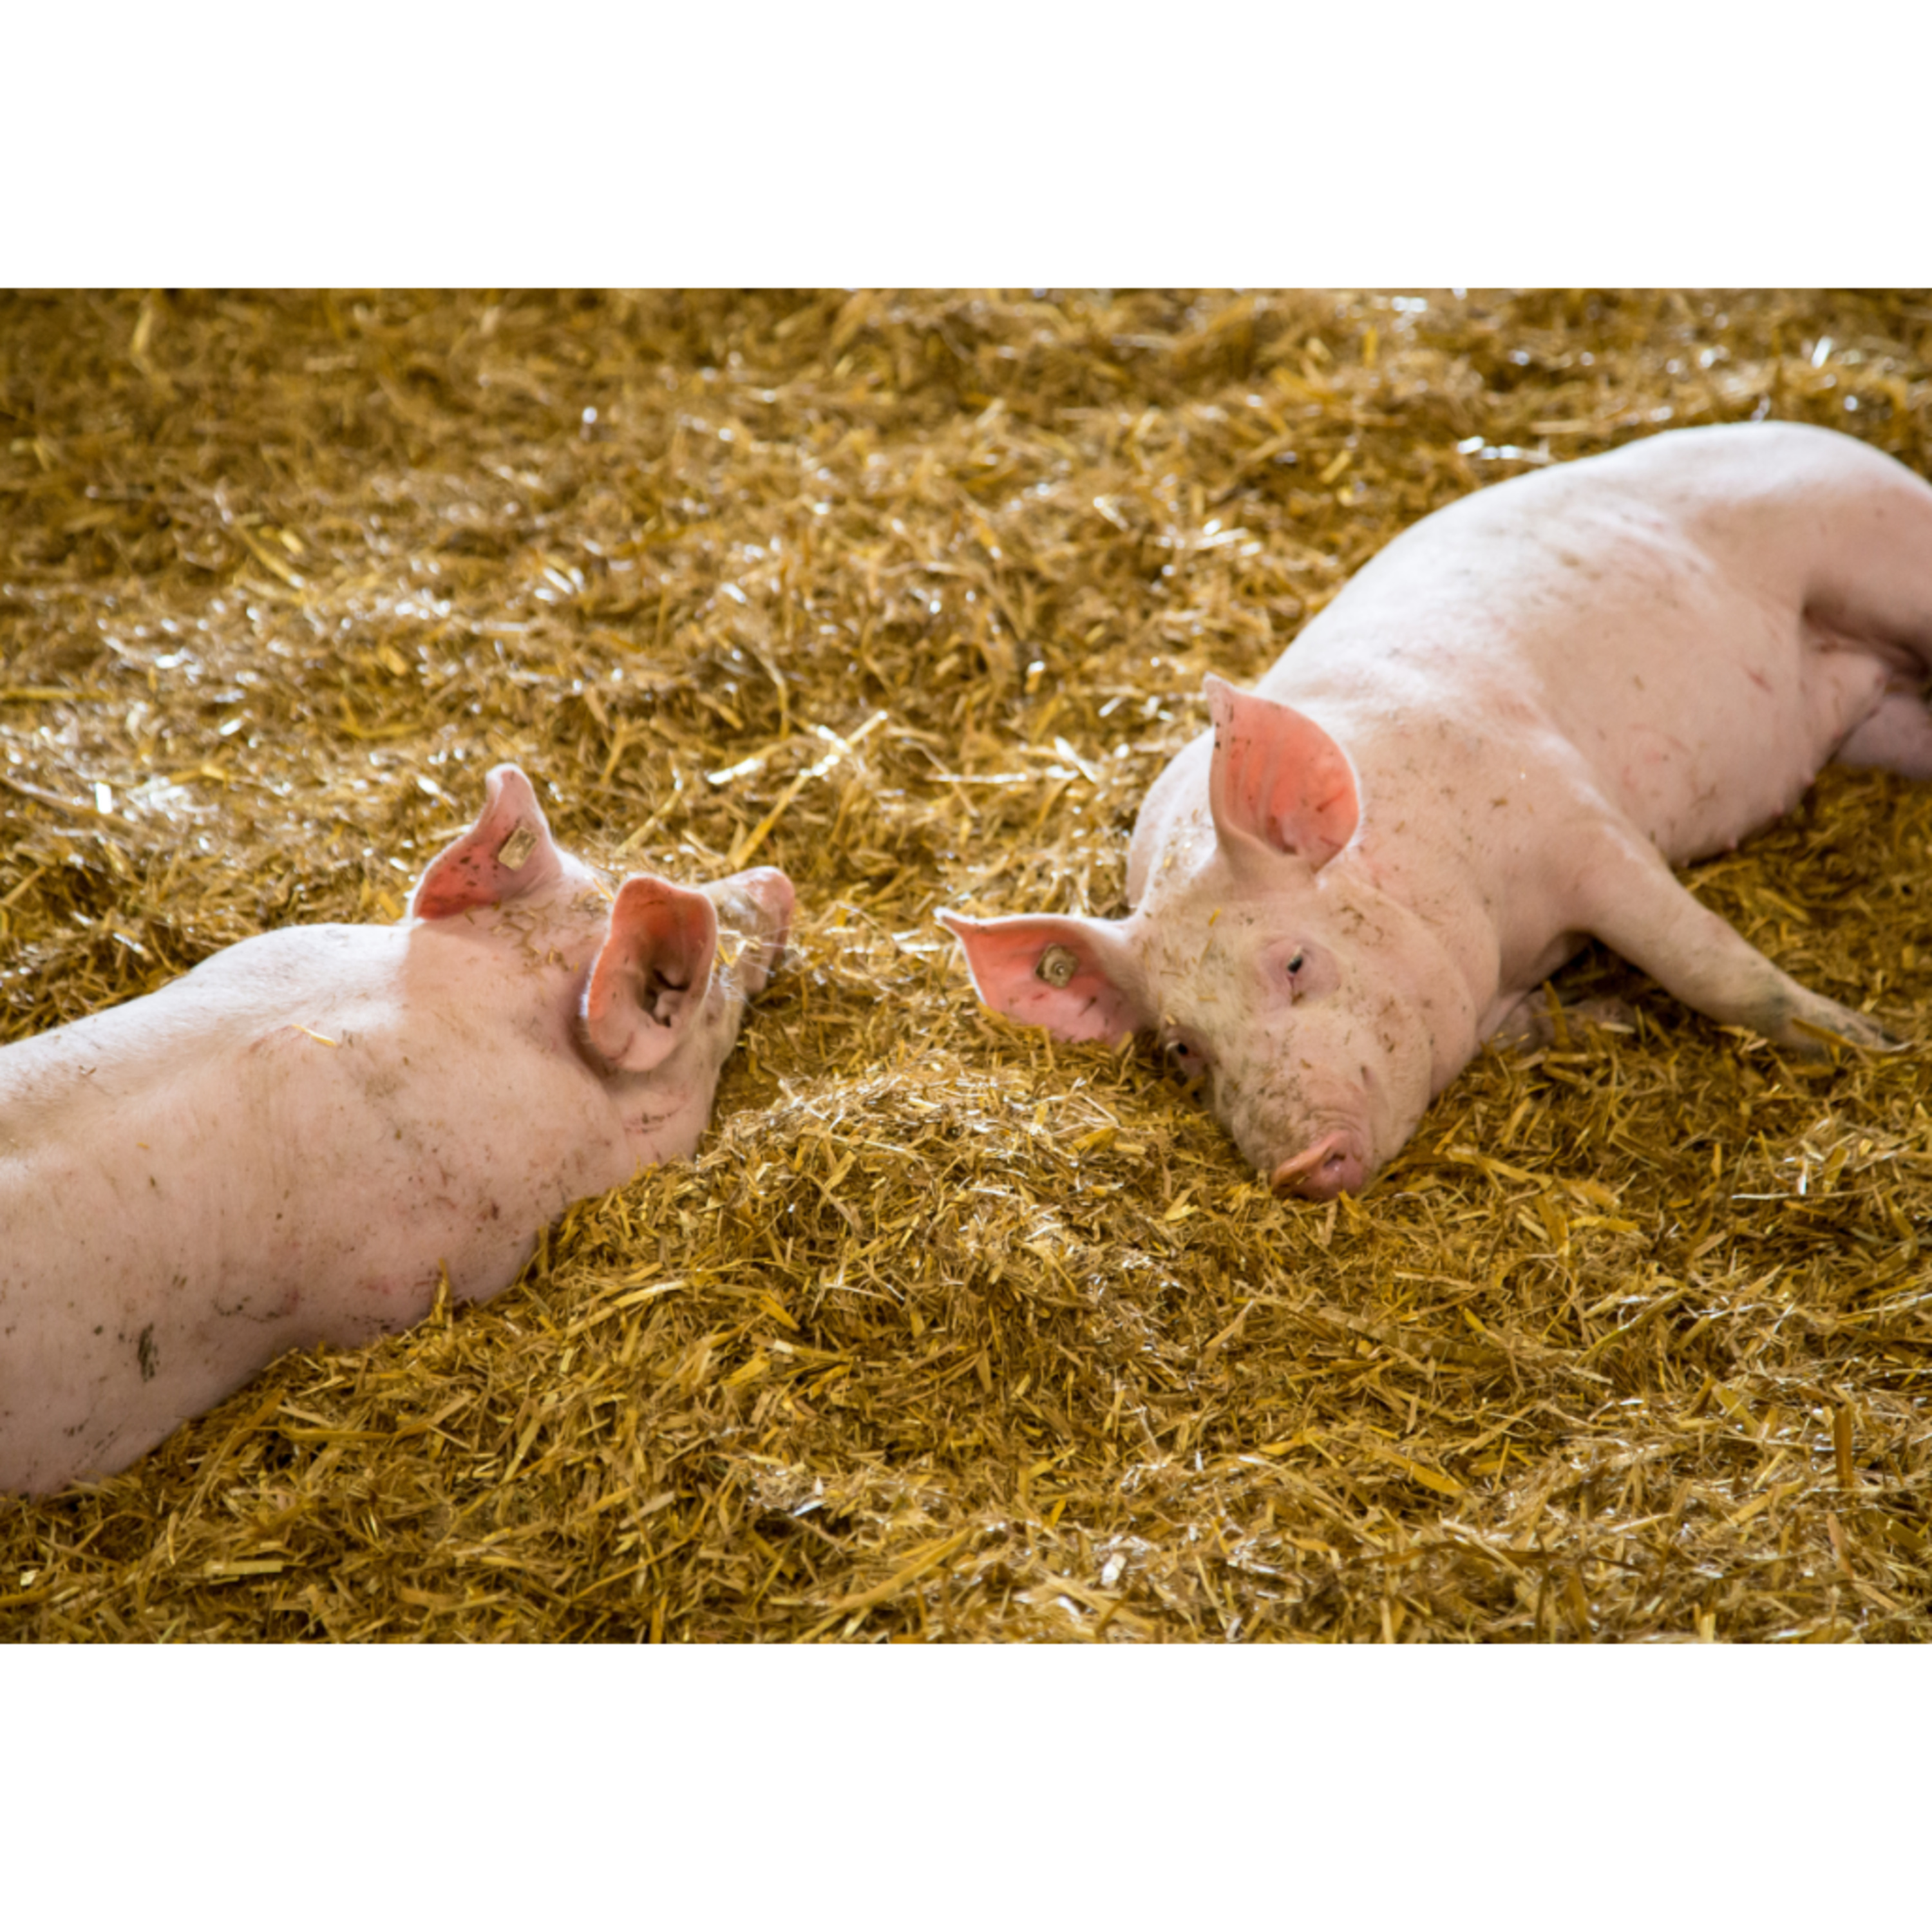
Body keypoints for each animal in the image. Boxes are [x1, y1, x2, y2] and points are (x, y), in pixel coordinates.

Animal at [940, 422, 1932, 1201]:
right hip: (1875, 720)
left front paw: (1870, 1045)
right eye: (1184, 1049)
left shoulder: (1582, 823)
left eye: (1296, 962)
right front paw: (1614, 1015)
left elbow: (1706, 961)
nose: (1297, 1166)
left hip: (1882, 556)